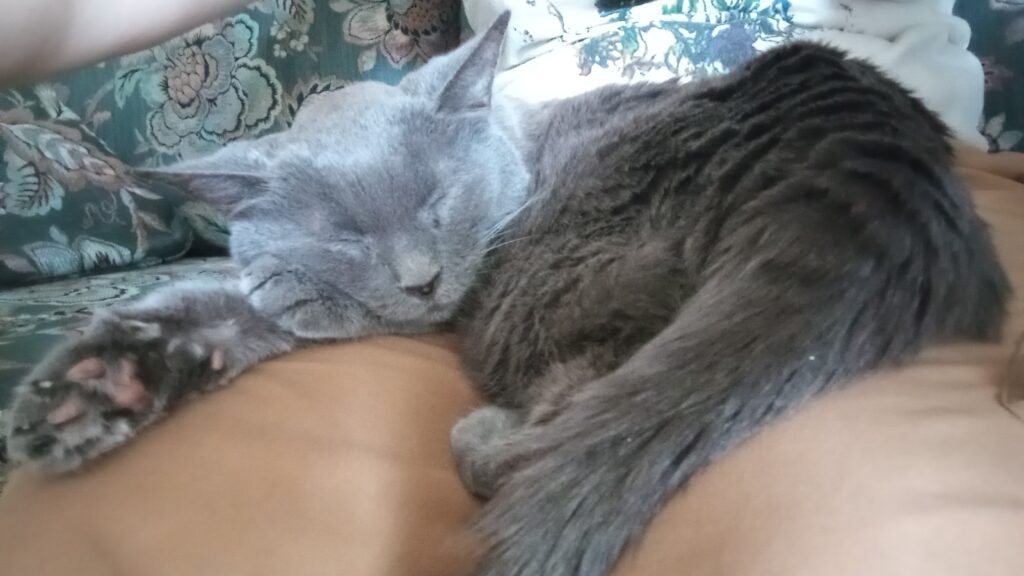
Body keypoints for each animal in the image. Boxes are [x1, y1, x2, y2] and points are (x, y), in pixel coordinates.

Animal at [2, 12, 1007, 573]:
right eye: (349, 234)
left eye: (438, 204)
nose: (421, 278)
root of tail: (860, 187)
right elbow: (229, 306)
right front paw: (93, 389)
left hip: (546, 289)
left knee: (574, 405)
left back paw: (488, 433)